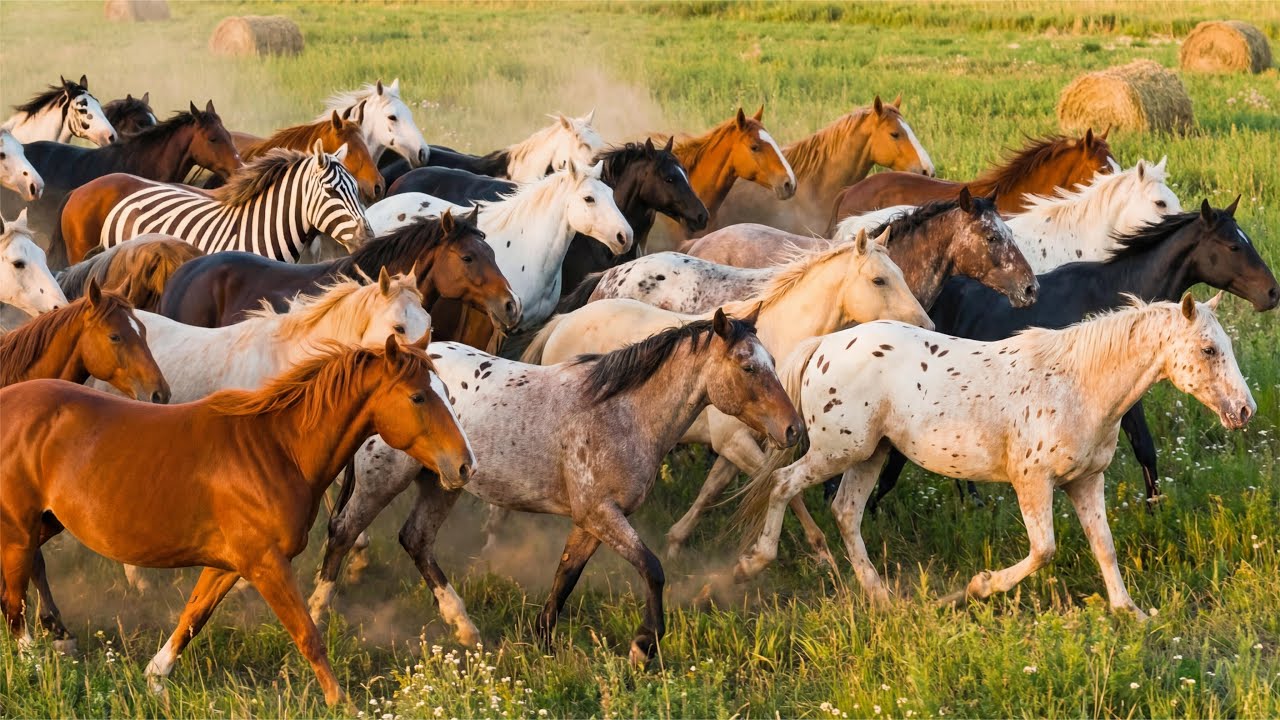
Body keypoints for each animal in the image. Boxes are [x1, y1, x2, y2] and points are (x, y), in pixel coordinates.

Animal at [0, 336, 473, 707]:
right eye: (418, 397)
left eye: (447, 393)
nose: (466, 466)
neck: (279, 449)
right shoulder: (266, 564)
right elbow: (308, 635)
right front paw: (342, 702)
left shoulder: (229, 564)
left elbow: (193, 617)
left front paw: (155, 678)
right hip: (19, 530)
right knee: (13, 602)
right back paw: (32, 664)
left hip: (45, 523)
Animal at [308, 311, 802, 663]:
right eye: (747, 366)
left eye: (773, 362)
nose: (794, 429)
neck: (623, 413)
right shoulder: (601, 513)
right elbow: (653, 568)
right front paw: (644, 646)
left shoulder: (590, 520)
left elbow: (566, 576)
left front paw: (542, 643)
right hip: (381, 477)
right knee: (343, 533)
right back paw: (316, 615)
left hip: (442, 482)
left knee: (415, 539)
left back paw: (464, 628)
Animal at [733, 295, 1254, 621]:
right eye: (1208, 349)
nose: (1245, 410)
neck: (1077, 385)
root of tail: (825, 345)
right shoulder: (1032, 482)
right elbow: (1044, 550)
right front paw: (976, 588)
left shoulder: (1086, 481)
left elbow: (1103, 546)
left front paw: (1130, 612)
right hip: (838, 451)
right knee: (783, 484)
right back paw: (751, 564)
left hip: (870, 455)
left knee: (845, 512)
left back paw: (881, 598)